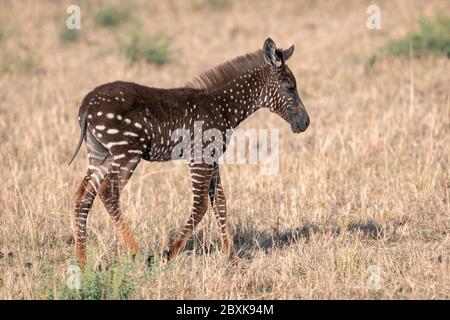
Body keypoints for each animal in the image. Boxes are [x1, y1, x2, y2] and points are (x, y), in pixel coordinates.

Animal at [69, 38, 310, 264]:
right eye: (290, 88)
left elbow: (220, 203)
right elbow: (201, 205)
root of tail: (87, 104)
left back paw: (82, 261)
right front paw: (171, 252)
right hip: (126, 153)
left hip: (101, 155)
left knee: (84, 196)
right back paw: (137, 255)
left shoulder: (212, 157)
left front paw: (231, 256)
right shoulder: (200, 157)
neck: (222, 106)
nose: (305, 123)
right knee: (109, 193)